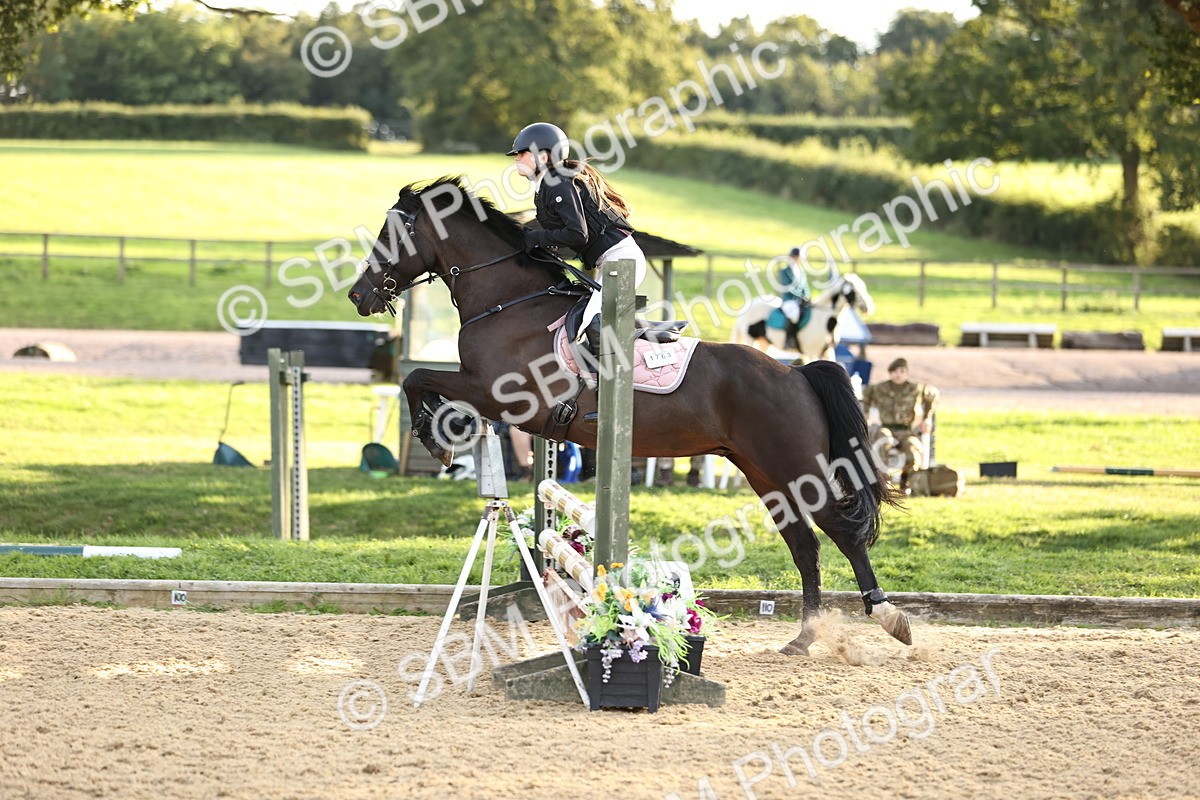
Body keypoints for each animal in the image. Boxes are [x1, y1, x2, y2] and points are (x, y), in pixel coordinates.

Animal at [730, 273, 875, 362]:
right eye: (853, 291)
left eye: (864, 288)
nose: (868, 307)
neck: (823, 319)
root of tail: (748, 306)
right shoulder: (811, 352)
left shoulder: (827, 351)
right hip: (749, 339)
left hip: (764, 342)